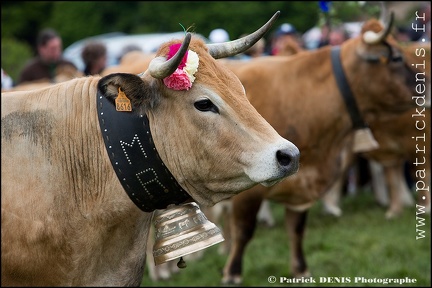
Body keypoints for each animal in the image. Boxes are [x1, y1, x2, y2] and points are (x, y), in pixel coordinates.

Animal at [218, 13, 420, 284]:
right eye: (397, 57)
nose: (426, 83)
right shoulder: (249, 192)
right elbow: (244, 230)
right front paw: (232, 274)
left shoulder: (303, 184)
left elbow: (296, 229)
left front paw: (301, 270)